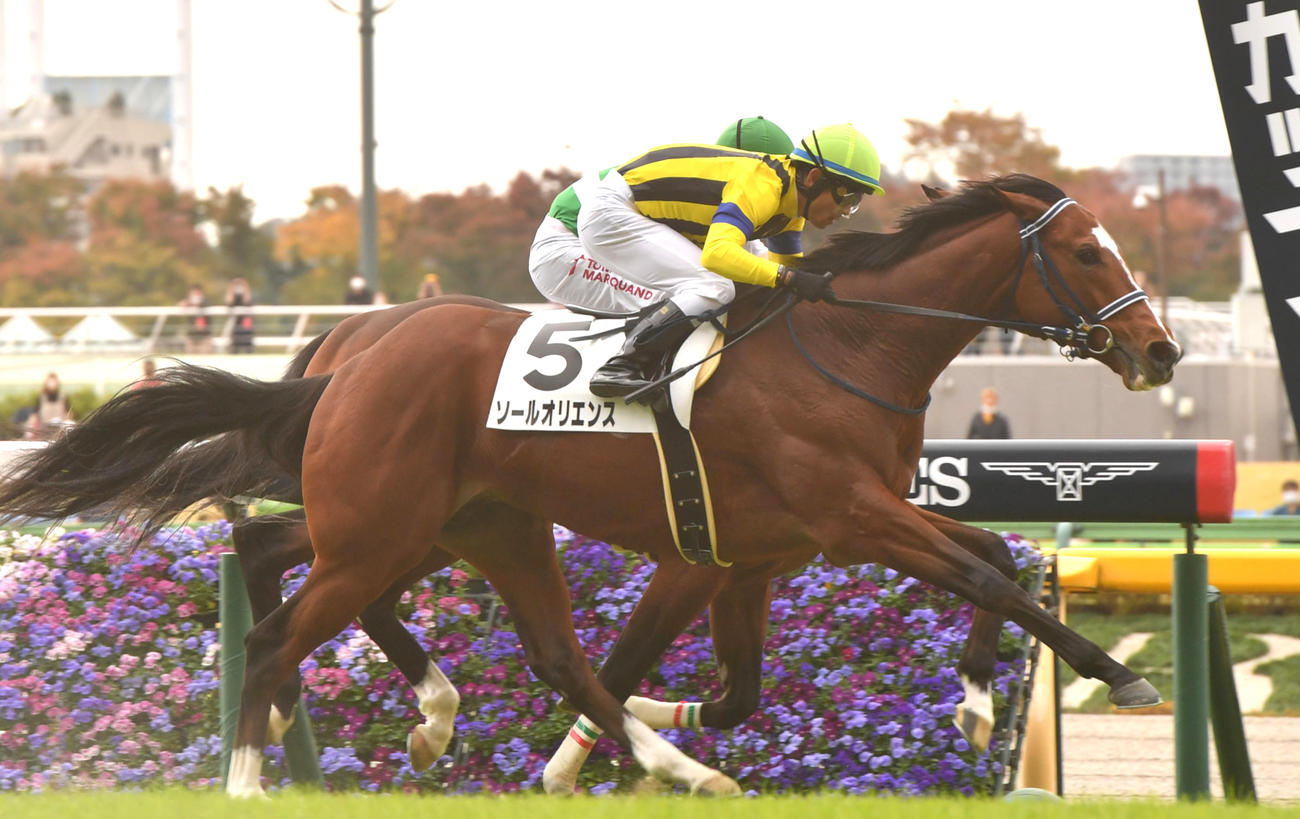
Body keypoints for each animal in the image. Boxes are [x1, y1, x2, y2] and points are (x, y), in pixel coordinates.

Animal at [0, 175, 1180, 796]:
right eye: (1087, 253)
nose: (1160, 353)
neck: (851, 346)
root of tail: (349, 357)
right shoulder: (849, 520)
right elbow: (991, 574)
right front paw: (1115, 678)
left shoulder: (766, 549)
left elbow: (975, 567)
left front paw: (977, 701)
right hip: (384, 525)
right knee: (283, 626)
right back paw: (257, 774)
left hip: (457, 526)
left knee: (518, 642)